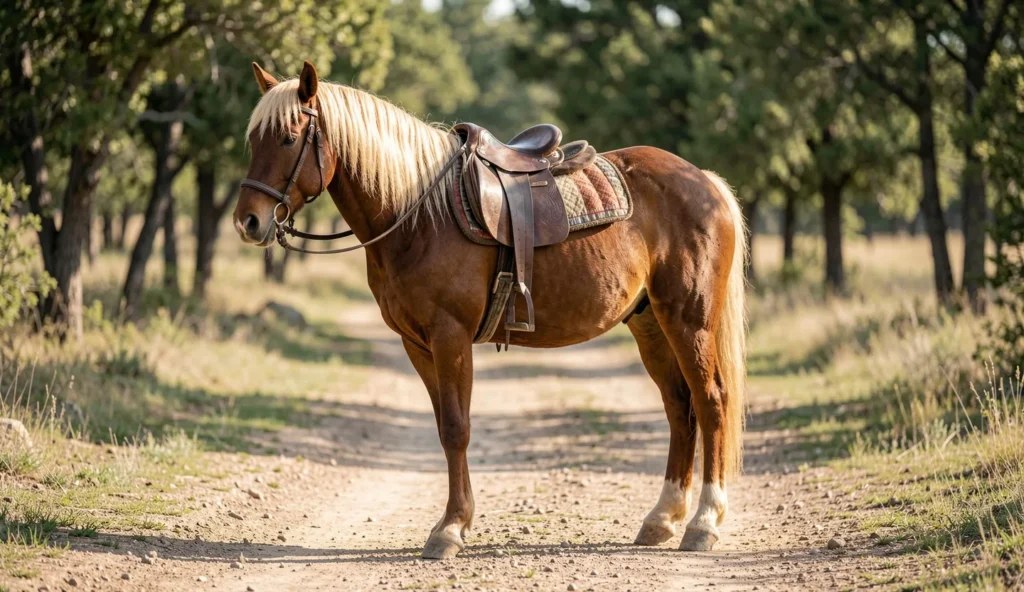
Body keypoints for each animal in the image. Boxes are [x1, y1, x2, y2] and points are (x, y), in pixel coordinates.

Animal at [233, 60, 747, 560]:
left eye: (288, 137)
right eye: (253, 139)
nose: (248, 222)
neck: (419, 214)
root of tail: (704, 180)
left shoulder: (450, 336)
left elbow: (456, 428)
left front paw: (450, 530)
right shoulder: (417, 343)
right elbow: (444, 427)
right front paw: (452, 523)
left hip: (689, 320)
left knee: (711, 401)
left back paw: (704, 523)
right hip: (650, 323)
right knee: (679, 407)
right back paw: (662, 518)